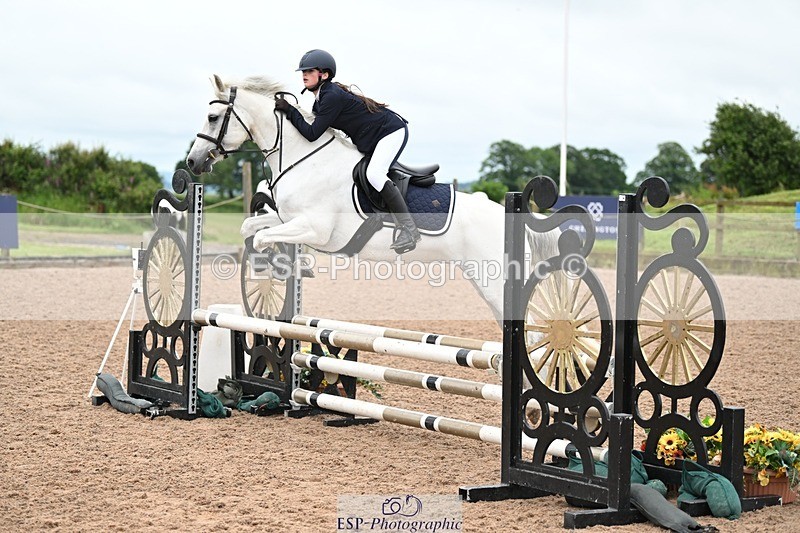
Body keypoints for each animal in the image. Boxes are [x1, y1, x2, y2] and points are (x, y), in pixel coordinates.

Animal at [186, 75, 559, 323]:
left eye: (213, 117)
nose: (192, 162)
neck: (304, 157)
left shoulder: (315, 228)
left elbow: (264, 237)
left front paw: (277, 264)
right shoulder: (288, 219)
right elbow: (252, 228)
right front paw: (273, 265)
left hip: (494, 280)